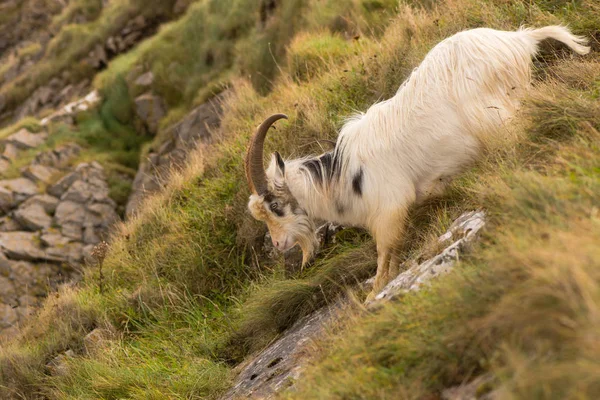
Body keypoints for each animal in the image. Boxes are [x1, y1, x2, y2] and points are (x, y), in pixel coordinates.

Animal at [245, 24, 592, 294]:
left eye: (275, 206)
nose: (278, 245)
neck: (342, 174)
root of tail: (518, 40)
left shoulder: (389, 210)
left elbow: (385, 255)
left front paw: (374, 295)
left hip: (500, 117)